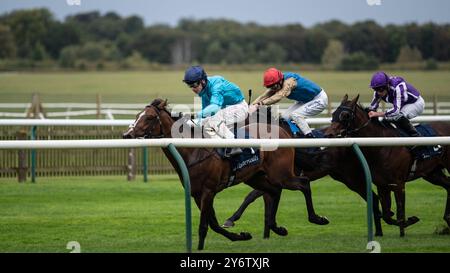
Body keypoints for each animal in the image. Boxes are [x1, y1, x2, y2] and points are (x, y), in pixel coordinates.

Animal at [122, 98, 326, 249]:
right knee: (273, 192)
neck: (195, 151)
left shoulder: (208, 191)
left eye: (149, 117)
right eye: (137, 115)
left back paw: (317, 218)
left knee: (303, 183)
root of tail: (283, 131)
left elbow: (204, 226)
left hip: (281, 174)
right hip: (256, 177)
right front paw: (241, 235)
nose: (127, 135)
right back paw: (277, 228)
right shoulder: (197, 194)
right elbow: (213, 224)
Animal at [324, 94, 450, 235]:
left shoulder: (398, 184)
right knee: (449, 185)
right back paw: (447, 219)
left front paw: (404, 228)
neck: (381, 146)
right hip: (432, 173)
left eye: (345, 115)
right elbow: (386, 216)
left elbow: (400, 213)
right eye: (334, 113)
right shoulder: (382, 185)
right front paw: (406, 220)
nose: (328, 135)